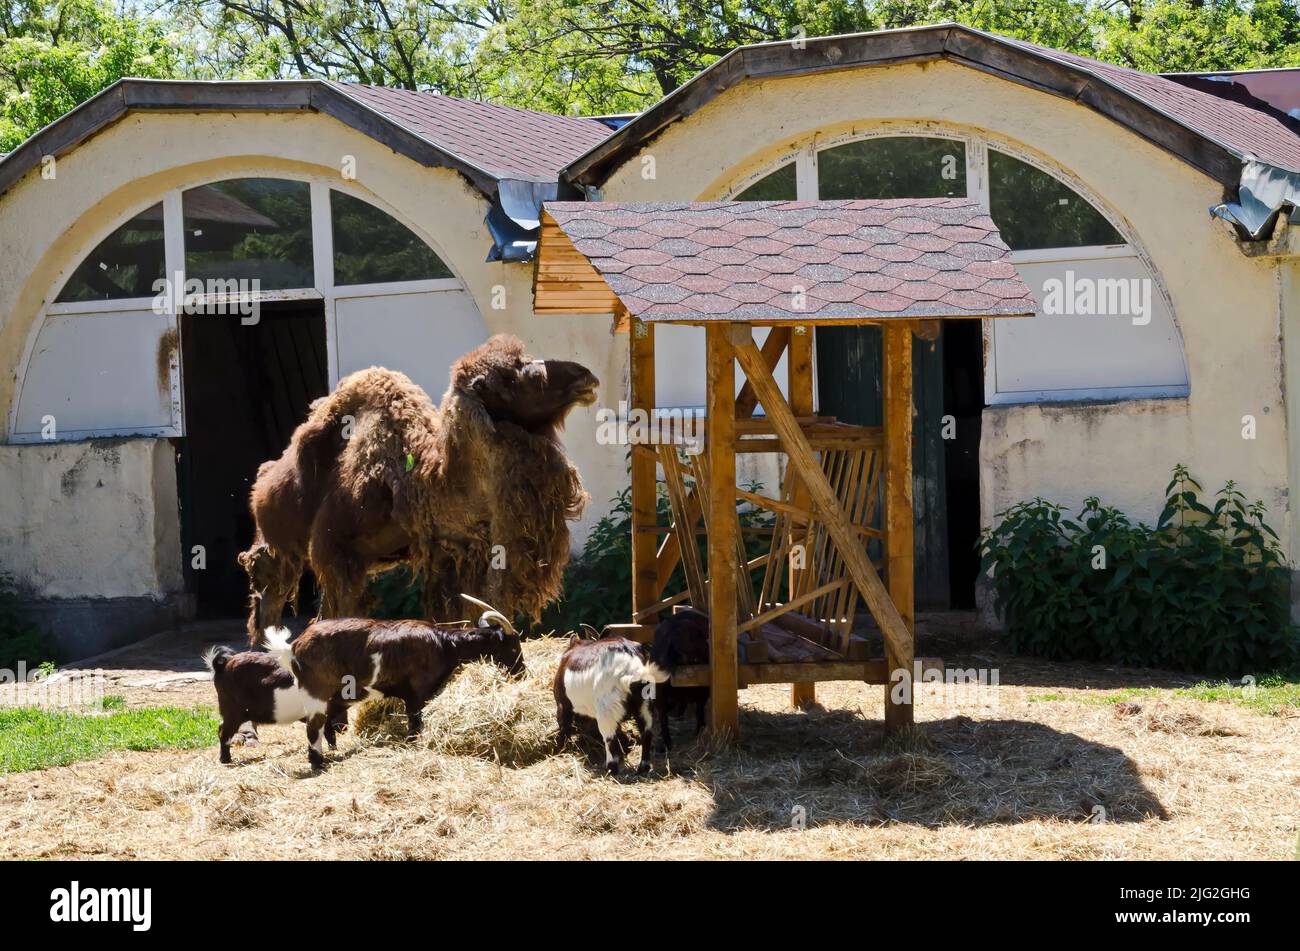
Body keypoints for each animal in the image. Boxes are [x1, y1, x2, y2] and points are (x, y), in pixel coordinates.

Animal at [202, 646, 335, 763]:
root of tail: (221, 666)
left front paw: (333, 748)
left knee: (221, 727)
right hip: (233, 710)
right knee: (224, 731)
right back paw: (226, 760)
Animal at [263, 597, 522, 769]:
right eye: (513, 647)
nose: (522, 672)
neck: (444, 644)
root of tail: (293, 647)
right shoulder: (417, 695)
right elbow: (415, 725)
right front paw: (413, 746)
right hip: (316, 692)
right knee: (313, 727)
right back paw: (318, 764)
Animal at [551, 631, 670, 774]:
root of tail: (630, 669)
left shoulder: (562, 705)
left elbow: (564, 728)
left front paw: (560, 750)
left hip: (606, 710)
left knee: (610, 739)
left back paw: (610, 768)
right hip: (644, 706)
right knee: (646, 734)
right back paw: (643, 768)